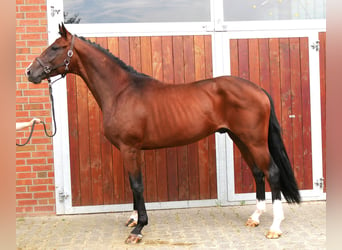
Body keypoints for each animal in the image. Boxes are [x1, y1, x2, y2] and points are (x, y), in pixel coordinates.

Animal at [26, 24, 300, 243]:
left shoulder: (130, 148)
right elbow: (133, 185)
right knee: (257, 173)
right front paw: (133, 218)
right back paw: (255, 217)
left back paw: (275, 228)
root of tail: (258, 89)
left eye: (55, 47)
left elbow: (137, 185)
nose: (30, 72)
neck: (121, 91)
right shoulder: (130, 150)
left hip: (254, 141)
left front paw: (138, 228)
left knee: (272, 172)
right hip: (241, 139)